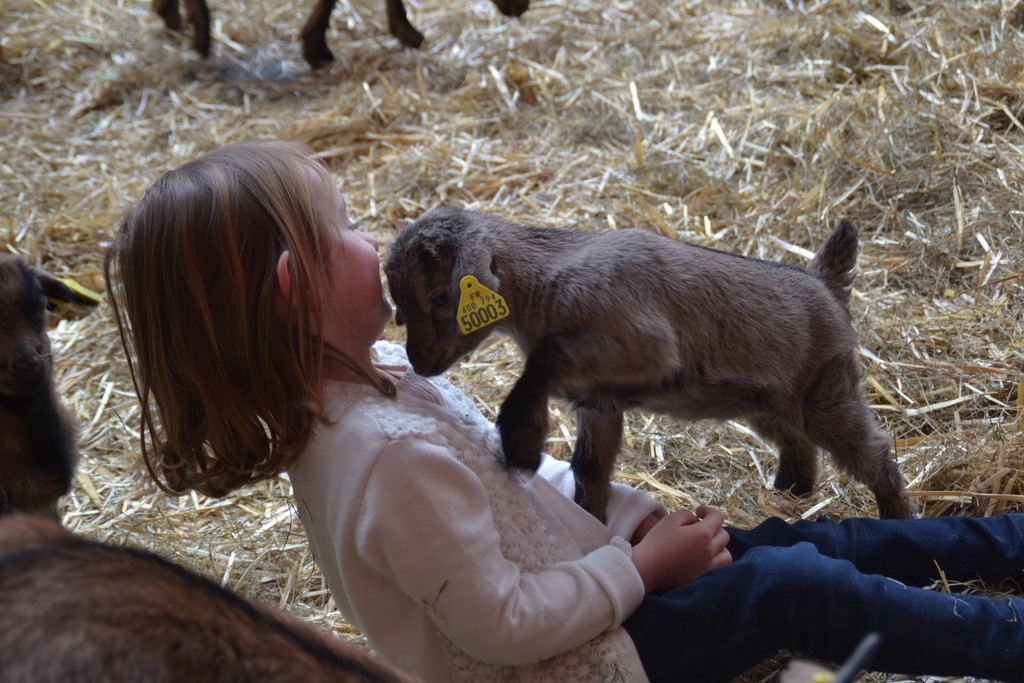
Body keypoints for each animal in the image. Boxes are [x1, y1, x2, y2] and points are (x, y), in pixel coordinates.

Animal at [385, 208, 913, 524]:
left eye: (441, 296)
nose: (418, 361)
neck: (546, 280)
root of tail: (824, 281)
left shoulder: (647, 346)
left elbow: (544, 358)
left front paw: (520, 441)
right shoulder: (598, 403)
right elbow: (590, 470)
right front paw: (595, 524)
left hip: (828, 391)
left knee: (873, 452)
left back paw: (897, 519)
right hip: (771, 402)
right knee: (798, 444)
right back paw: (792, 491)